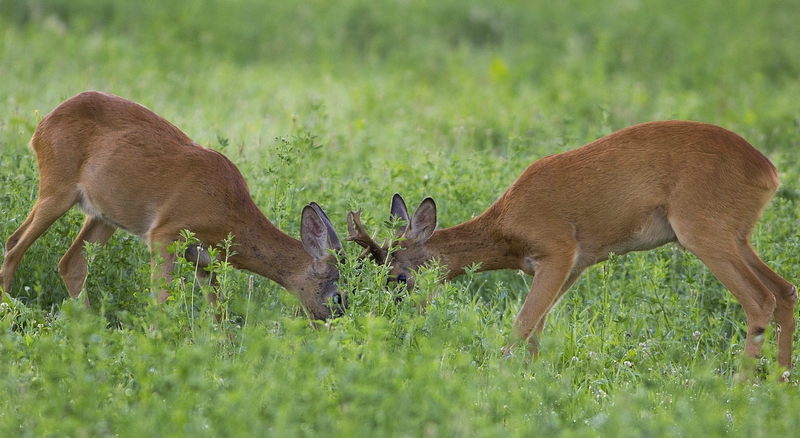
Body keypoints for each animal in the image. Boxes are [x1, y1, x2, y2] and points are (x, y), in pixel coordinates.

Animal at [0, 90, 346, 320]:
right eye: (338, 296)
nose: (336, 325)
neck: (231, 213)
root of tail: (40, 126)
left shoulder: (203, 260)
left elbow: (219, 311)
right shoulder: (165, 234)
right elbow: (161, 301)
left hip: (103, 215)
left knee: (71, 264)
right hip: (56, 188)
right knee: (14, 243)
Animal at [350, 120, 800, 372]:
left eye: (399, 276)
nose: (394, 323)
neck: (507, 224)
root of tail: (769, 171)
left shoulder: (558, 251)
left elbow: (520, 325)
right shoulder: (573, 266)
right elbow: (537, 331)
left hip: (703, 232)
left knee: (759, 299)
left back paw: (740, 389)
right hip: (737, 236)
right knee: (784, 290)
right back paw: (778, 384)